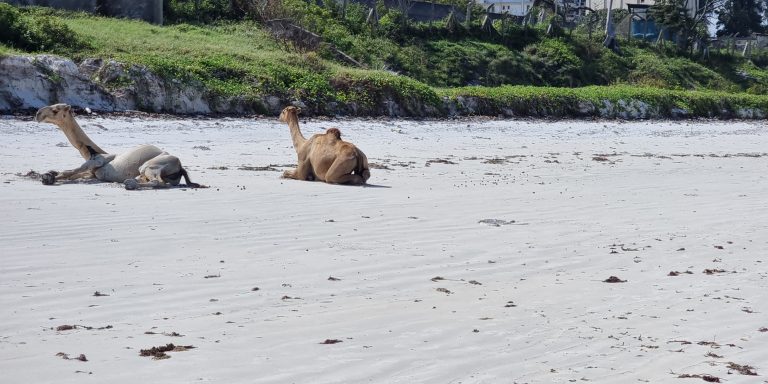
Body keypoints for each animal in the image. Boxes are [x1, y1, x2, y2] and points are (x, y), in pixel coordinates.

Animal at [33, 103, 201, 190]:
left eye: (55, 110)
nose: (37, 113)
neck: (90, 151)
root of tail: (180, 167)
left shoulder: (96, 161)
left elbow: (71, 171)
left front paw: (48, 177)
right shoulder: (92, 173)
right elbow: (74, 173)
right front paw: (47, 174)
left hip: (151, 165)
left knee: (157, 182)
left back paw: (129, 184)